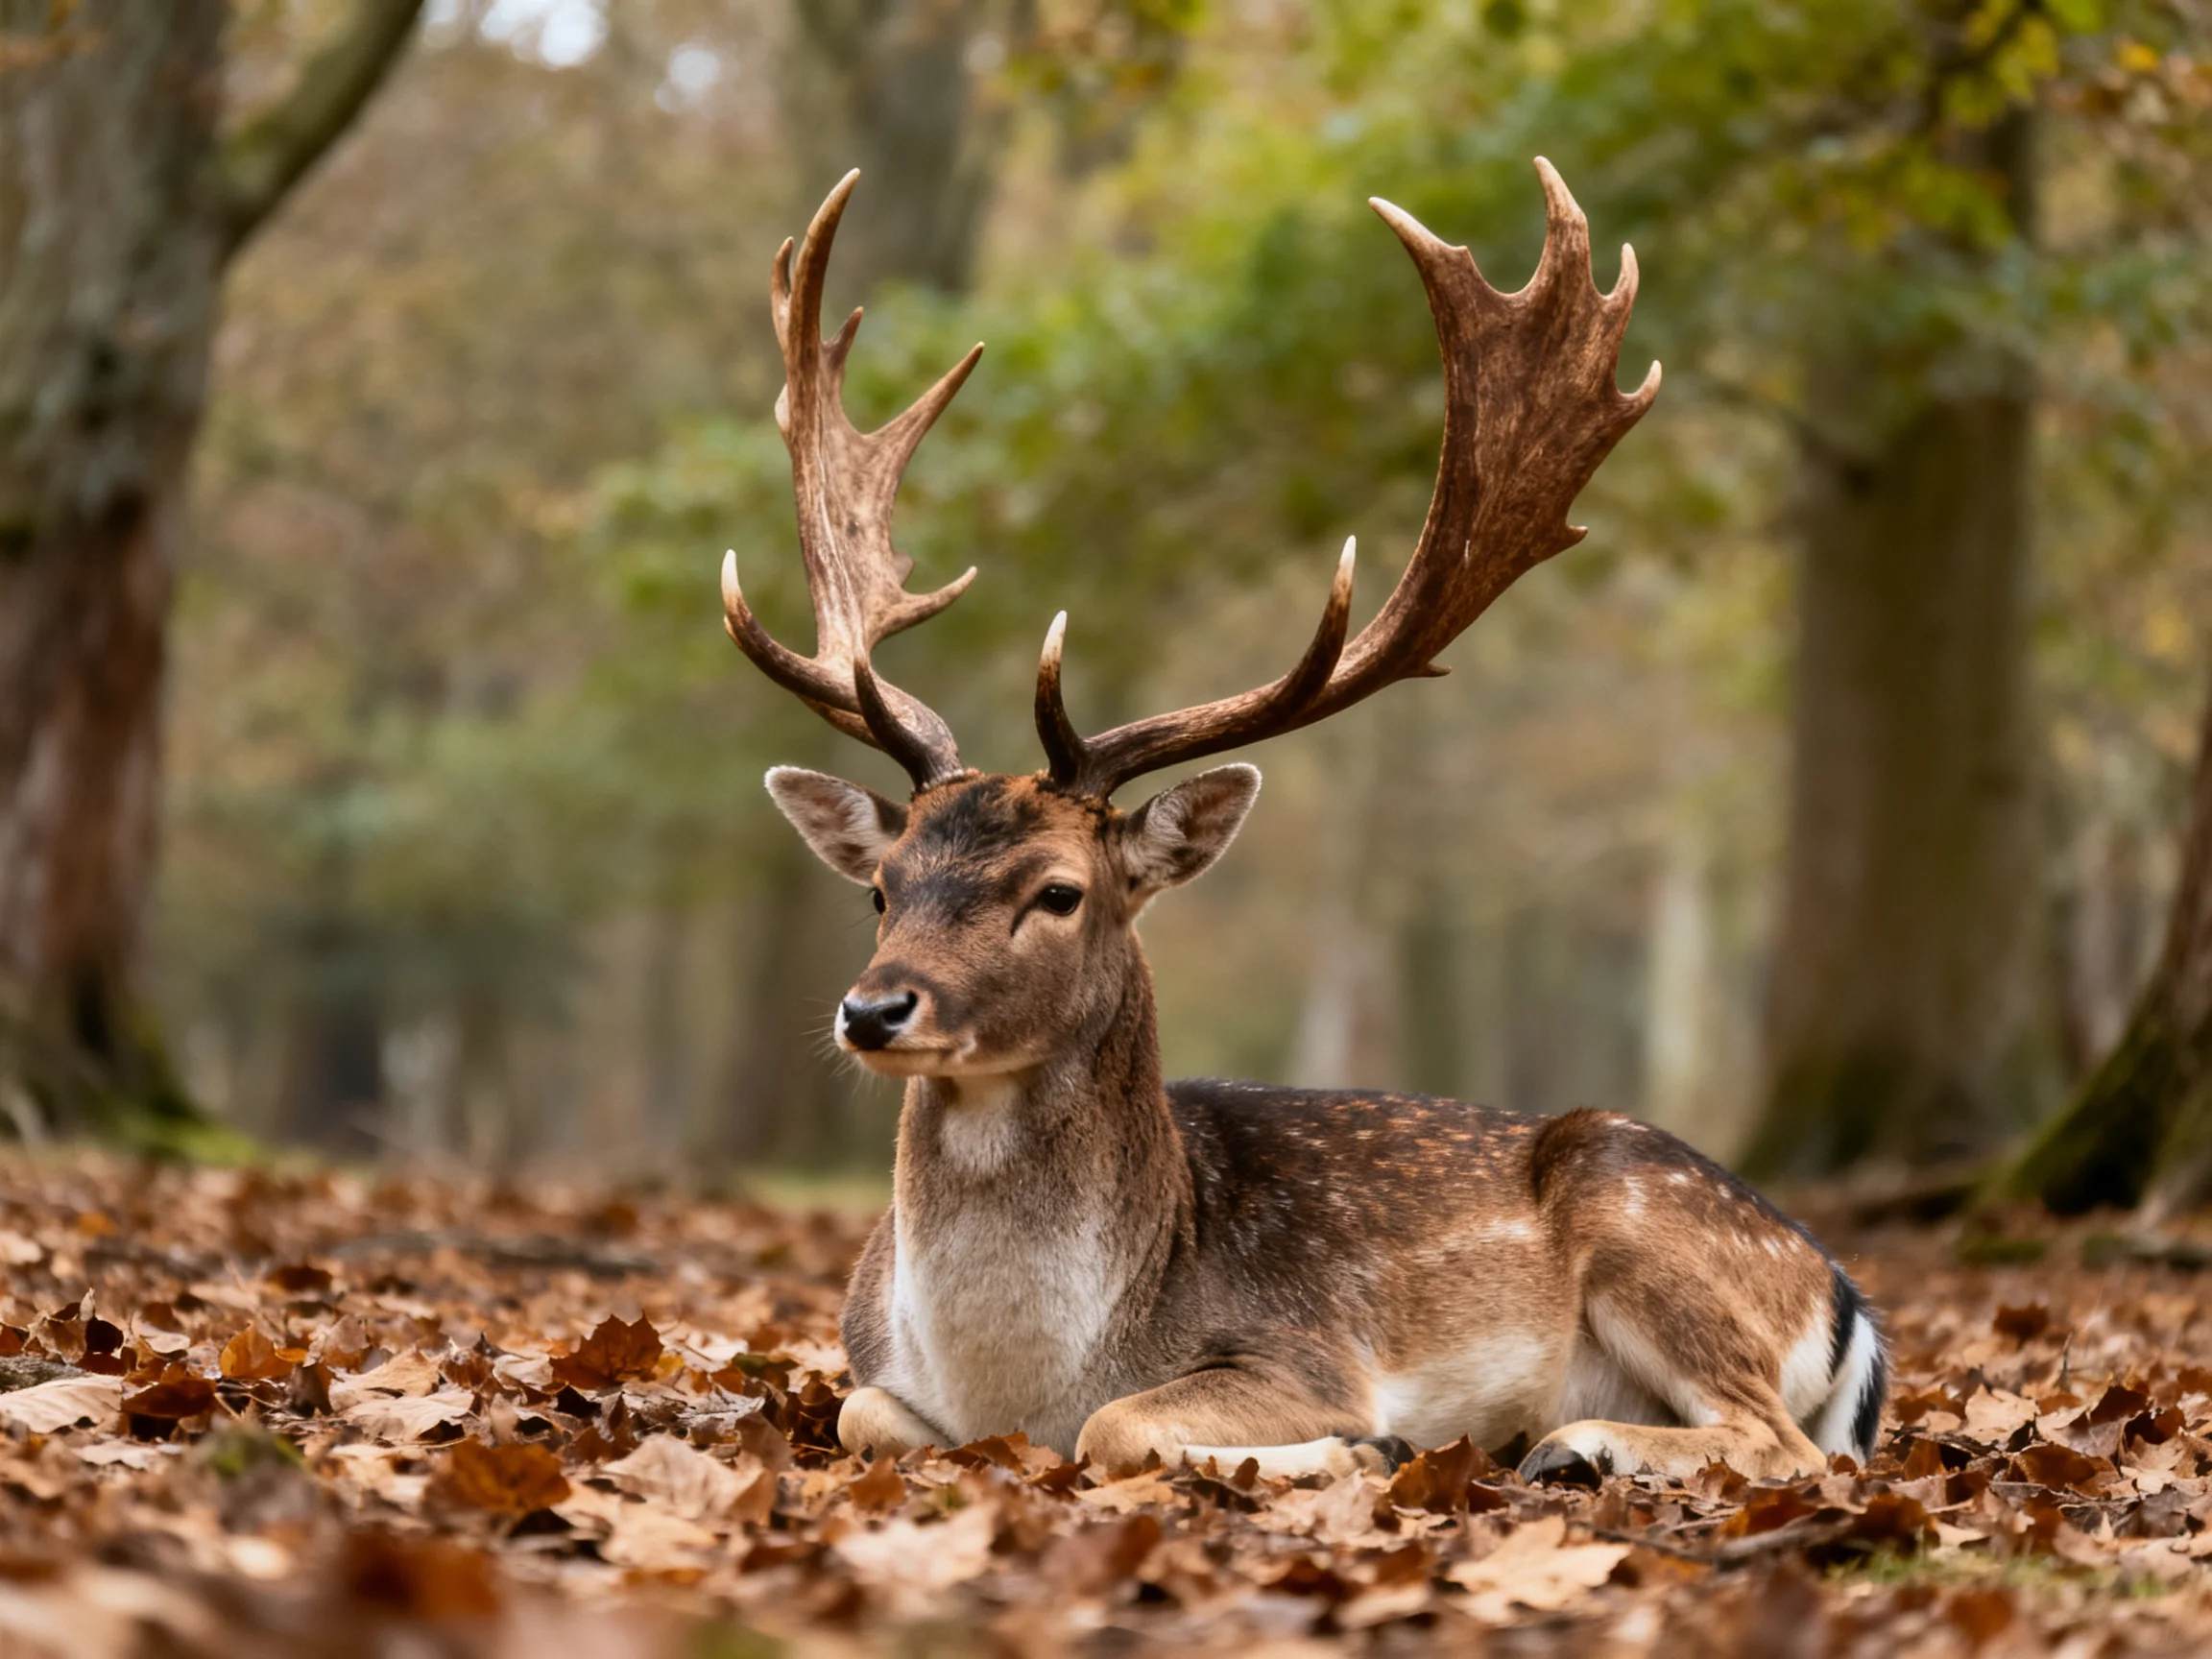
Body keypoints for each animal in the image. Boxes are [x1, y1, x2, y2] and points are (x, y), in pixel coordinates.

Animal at [719, 164, 1888, 1486]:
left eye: (1059, 891)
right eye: (883, 887)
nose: (872, 1009)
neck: (1015, 1384)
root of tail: (1846, 1299)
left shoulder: (1304, 1350)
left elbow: (1126, 1426)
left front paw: (1364, 1447)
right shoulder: (872, 1371)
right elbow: (865, 1416)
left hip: (1646, 1220)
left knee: (1790, 1445)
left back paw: (1566, 1442)